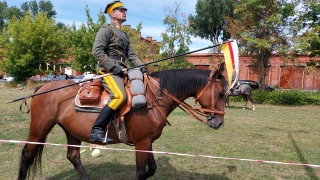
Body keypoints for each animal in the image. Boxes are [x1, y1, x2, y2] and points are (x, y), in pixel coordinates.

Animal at [18, 64, 228, 180]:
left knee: (74, 157)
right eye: (219, 93)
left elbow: (151, 169)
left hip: (72, 131)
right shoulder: (141, 144)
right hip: (39, 129)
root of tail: (42, 87)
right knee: (27, 154)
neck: (153, 98)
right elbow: (140, 173)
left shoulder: (147, 142)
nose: (218, 123)